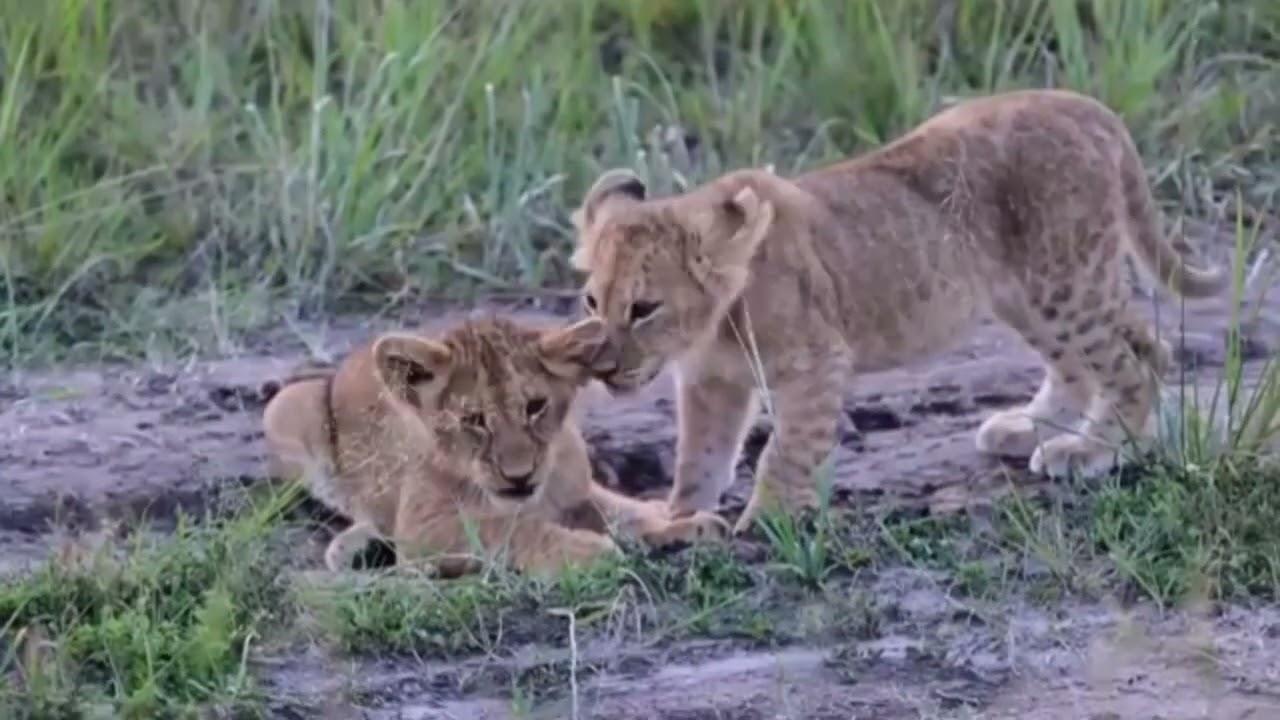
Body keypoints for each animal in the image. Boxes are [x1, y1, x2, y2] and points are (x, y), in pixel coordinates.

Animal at [260, 315, 729, 576]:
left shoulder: (577, 491)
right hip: (286, 407)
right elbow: (507, 528)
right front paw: (585, 549)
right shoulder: (425, 527)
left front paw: (683, 527)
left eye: (536, 406)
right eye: (473, 421)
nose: (519, 475)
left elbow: (622, 513)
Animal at [569, 88, 1228, 536]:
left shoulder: (817, 361)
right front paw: (680, 517)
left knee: (1135, 359)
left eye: (644, 308)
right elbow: (698, 456)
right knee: (1107, 355)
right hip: (1028, 292)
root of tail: (1088, 107)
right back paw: (1029, 428)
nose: (601, 367)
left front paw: (772, 516)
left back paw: (1088, 452)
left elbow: (786, 448)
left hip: (1063, 278)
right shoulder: (712, 382)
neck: (709, 328)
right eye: (592, 301)